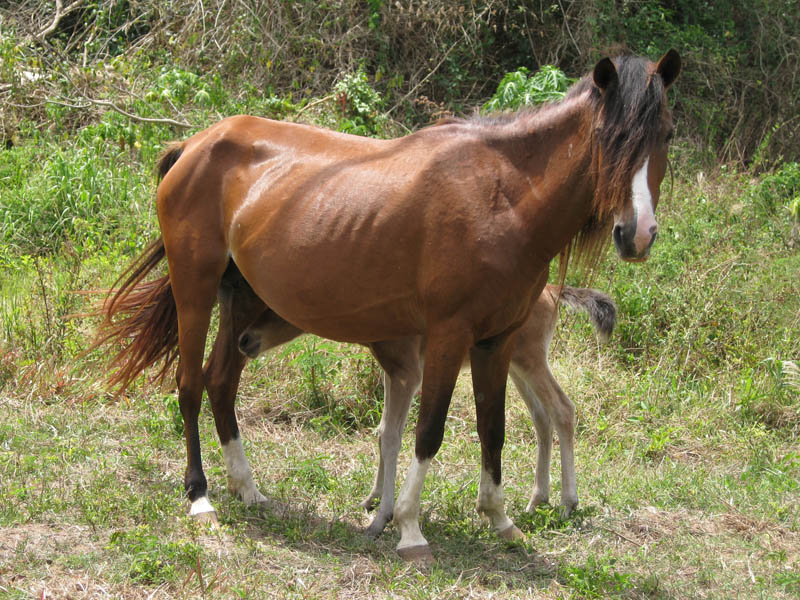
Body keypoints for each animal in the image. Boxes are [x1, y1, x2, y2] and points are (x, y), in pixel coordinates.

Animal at [234, 278, 616, 536]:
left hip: (529, 357)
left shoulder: (407, 373)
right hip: (515, 363)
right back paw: (538, 499)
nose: (244, 340)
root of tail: (553, 290)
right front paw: (372, 499)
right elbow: (382, 432)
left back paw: (568, 503)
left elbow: (391, 436)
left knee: (563, 409)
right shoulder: (392, 372)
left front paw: (380, 519)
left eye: (274, 306)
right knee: (541, 417)